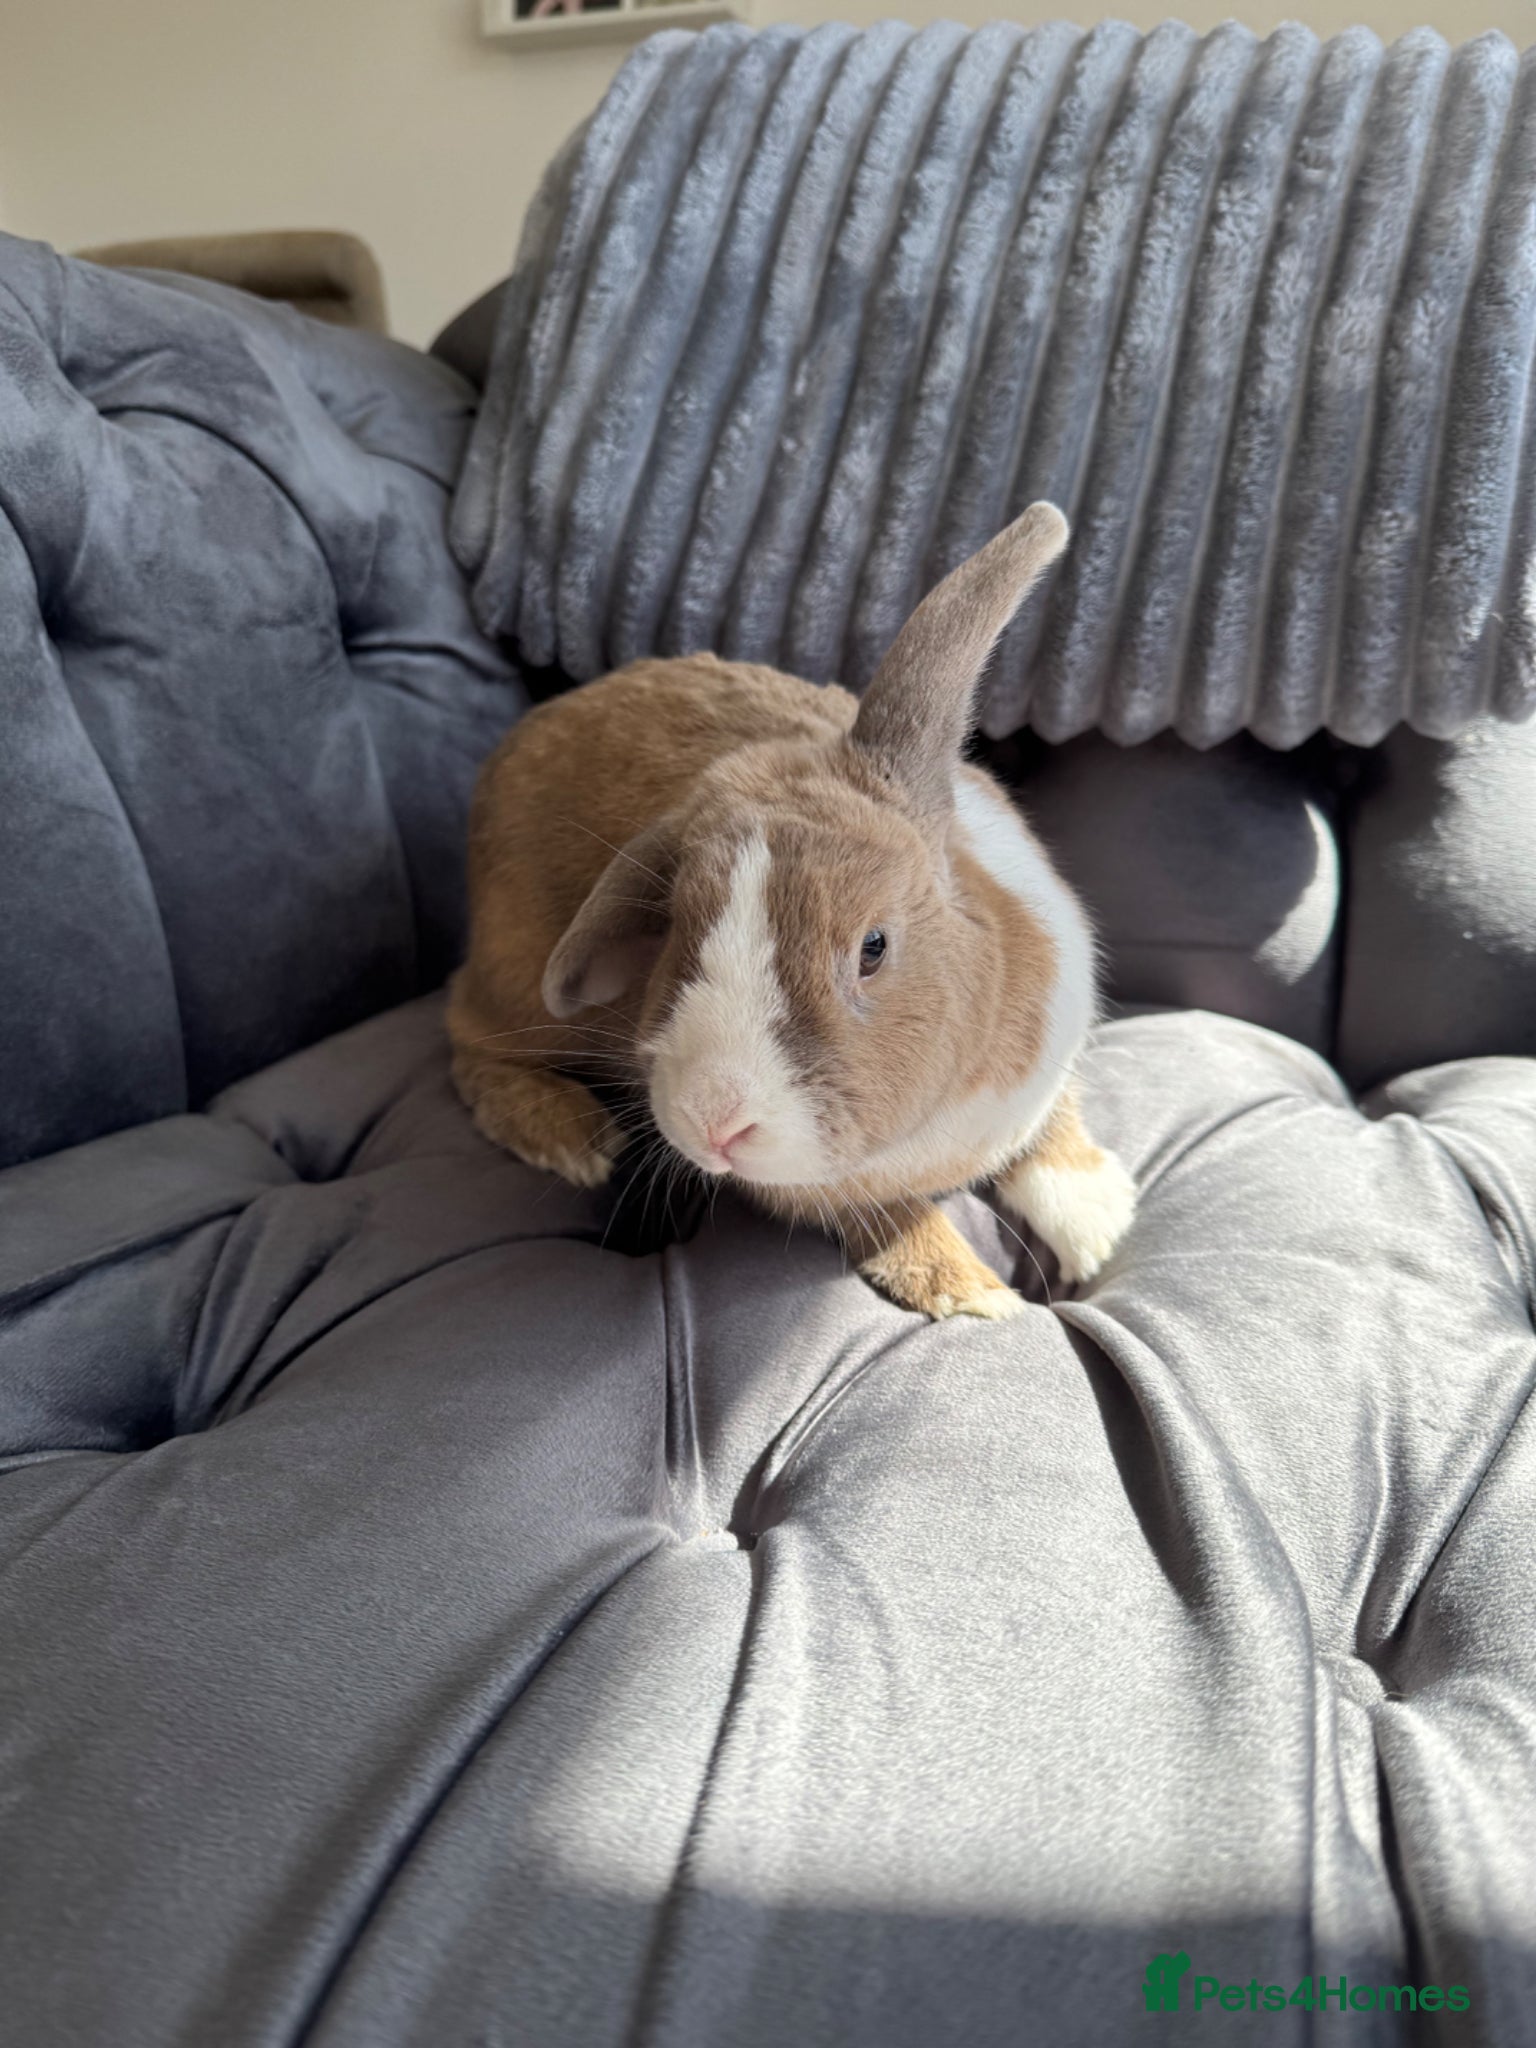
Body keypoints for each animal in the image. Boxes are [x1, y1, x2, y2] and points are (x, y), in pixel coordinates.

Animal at [447, 501, 1136, 1320]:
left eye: (873, 946)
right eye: (676, 928)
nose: (714, 1121)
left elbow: (1055, 1120)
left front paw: (1098, 1221)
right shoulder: (813, 1191)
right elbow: (886, 1214)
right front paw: (970, 1291)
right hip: (517, 980)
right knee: (465, 1042)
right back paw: (569, 1137)